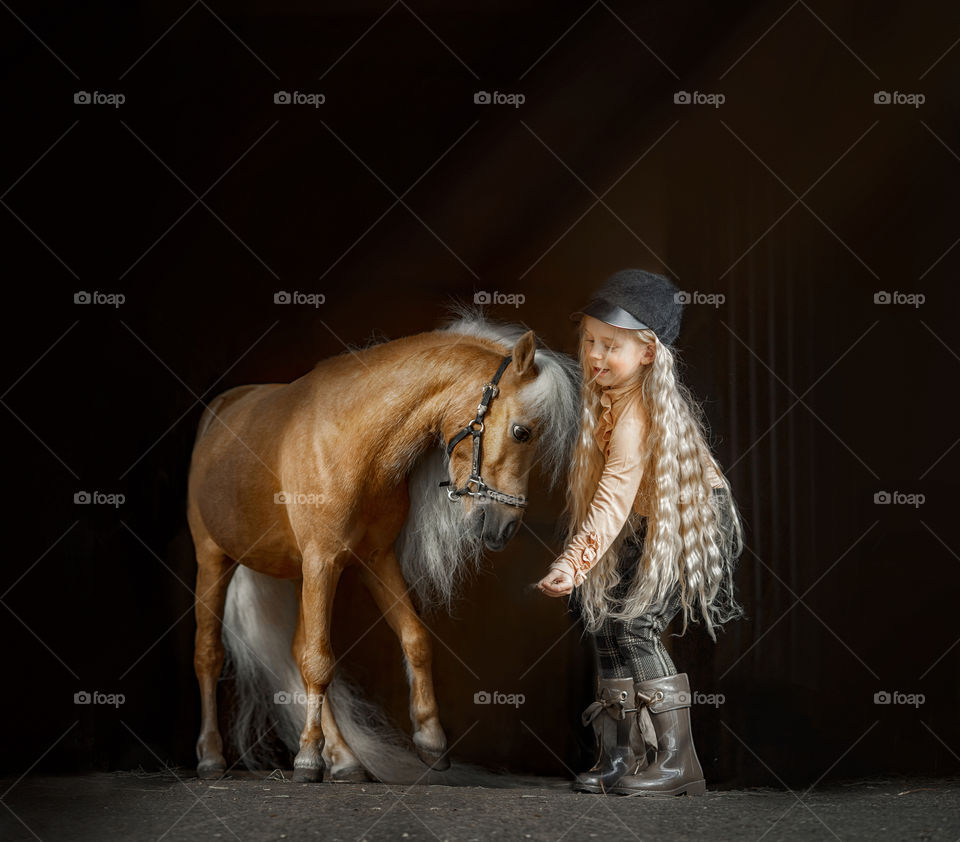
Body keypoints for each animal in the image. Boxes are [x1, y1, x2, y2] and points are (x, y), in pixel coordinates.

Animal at [187, 310, 576, 780]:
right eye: (522, 432)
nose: (503, 528)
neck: (354, 443)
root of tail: (220, 412)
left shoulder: (375, 559)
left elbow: (414, 639)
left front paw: (430, 740)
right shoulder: (323, 561)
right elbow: (319, 661)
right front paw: (307, 757)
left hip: (297, 573)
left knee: (297, 650)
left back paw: (344, 759)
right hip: (214, 558)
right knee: (209, 653)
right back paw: (211, 756)